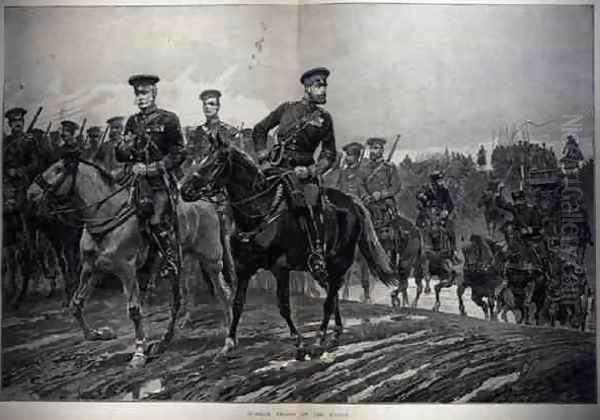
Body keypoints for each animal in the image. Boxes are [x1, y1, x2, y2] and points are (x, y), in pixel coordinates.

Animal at [28, 158, 234, 368]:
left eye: (58, 169)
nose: (31, 193)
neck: (106, 216)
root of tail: (208, 202)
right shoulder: (92, 270)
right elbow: (76, 304)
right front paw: (99, 334)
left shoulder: (126, 269)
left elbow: (134, 310)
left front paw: (139, 353)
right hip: (185, 259)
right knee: (179, 298)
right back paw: (163, 342)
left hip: (210, 258)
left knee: (223, 291)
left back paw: (228, 334)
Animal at [182, 140, 398, 354]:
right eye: (204, 157)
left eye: (217, 160)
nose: (185, 189)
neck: (259, 212)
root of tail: (351, 201)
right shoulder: (244, 269)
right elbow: (237, 303)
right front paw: (229, 343)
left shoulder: (281, 269)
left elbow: (284, 305)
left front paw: (298, 340)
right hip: (321, 268)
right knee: (332, 291)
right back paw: (336, 332)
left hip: (339, 261)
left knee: (330, 297)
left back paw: (320, 336)